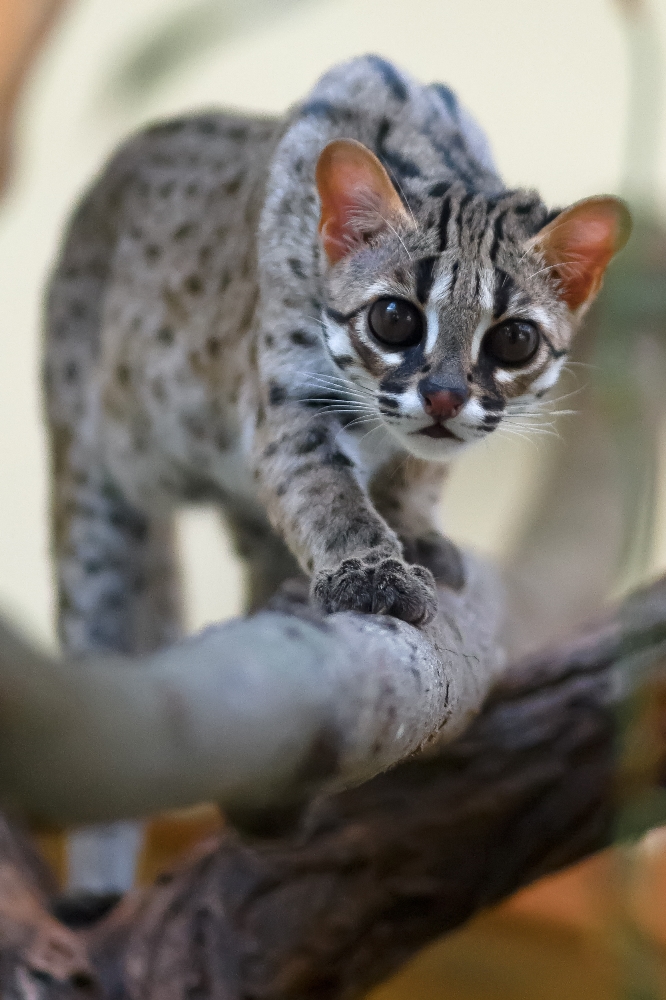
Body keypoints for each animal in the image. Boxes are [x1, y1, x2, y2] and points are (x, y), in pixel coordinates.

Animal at [45, 54, 628, 652]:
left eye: (514, 340)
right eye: (394, 320)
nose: (444, 398)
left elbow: (420, 469)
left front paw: (410, 529)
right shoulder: (293, 397)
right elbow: (327, 493)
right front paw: (372, 573)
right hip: (92, 477)